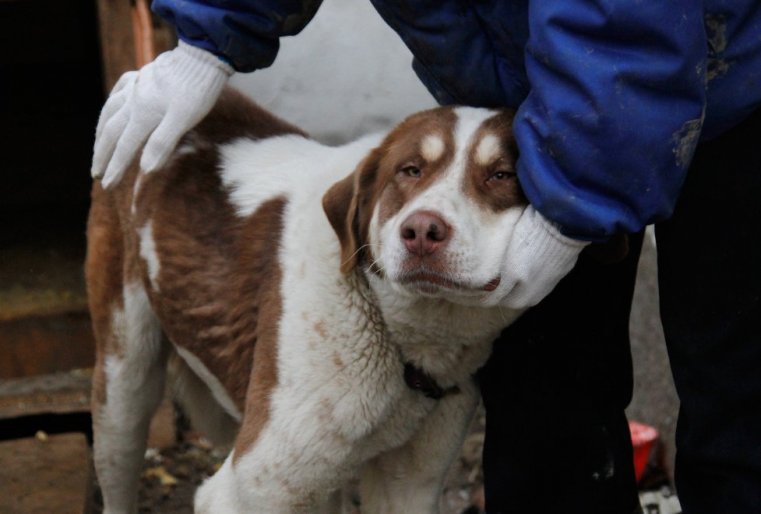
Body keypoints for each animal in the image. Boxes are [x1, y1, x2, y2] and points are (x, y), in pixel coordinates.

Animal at [87, 89, 528, 512]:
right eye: (411, 170)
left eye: (501, 175)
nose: (421, 231)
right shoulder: (249, 491)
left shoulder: (410, 486)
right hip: (125, 389)